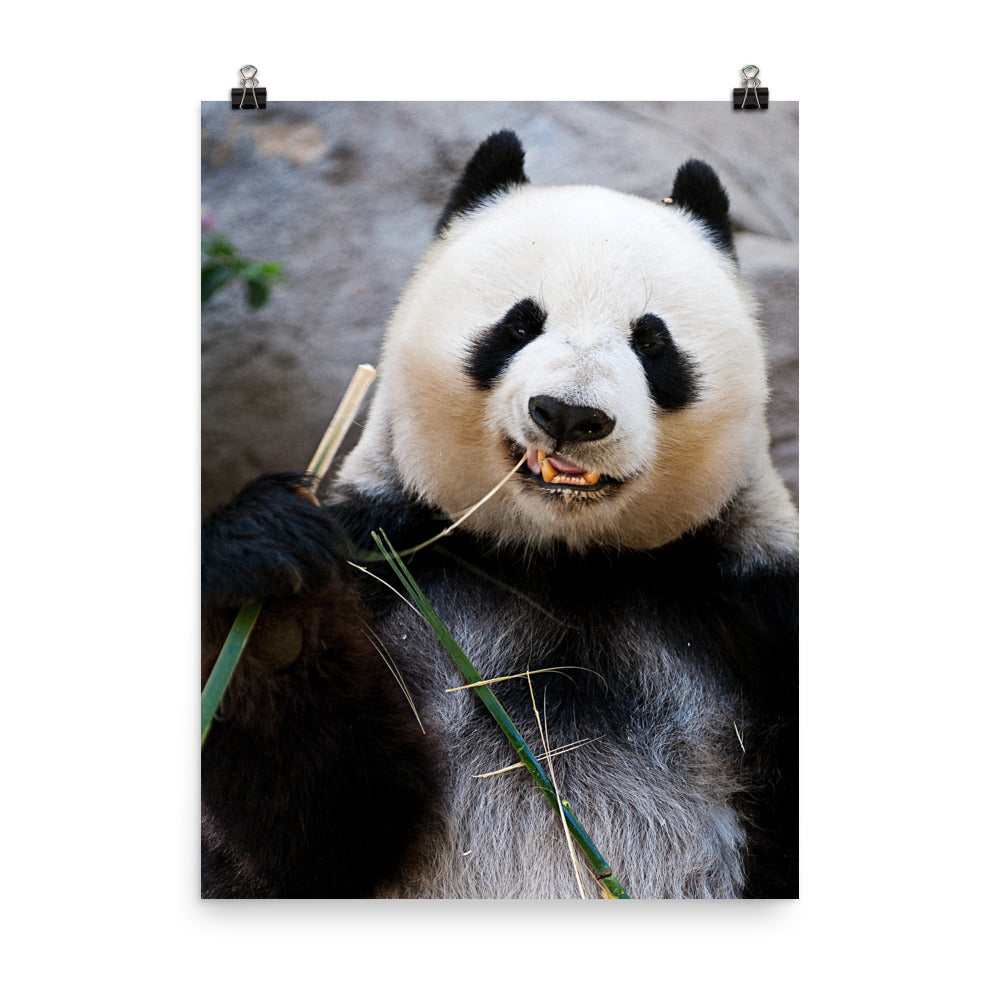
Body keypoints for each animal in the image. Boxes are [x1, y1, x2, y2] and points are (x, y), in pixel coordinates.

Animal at [201, 130, 798, 899]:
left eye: (652, 342)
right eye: (518, 324)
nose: (569, 414)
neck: (562, 562)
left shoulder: (752, 610)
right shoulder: (392, 565)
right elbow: (320, 832)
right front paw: (273, 603)